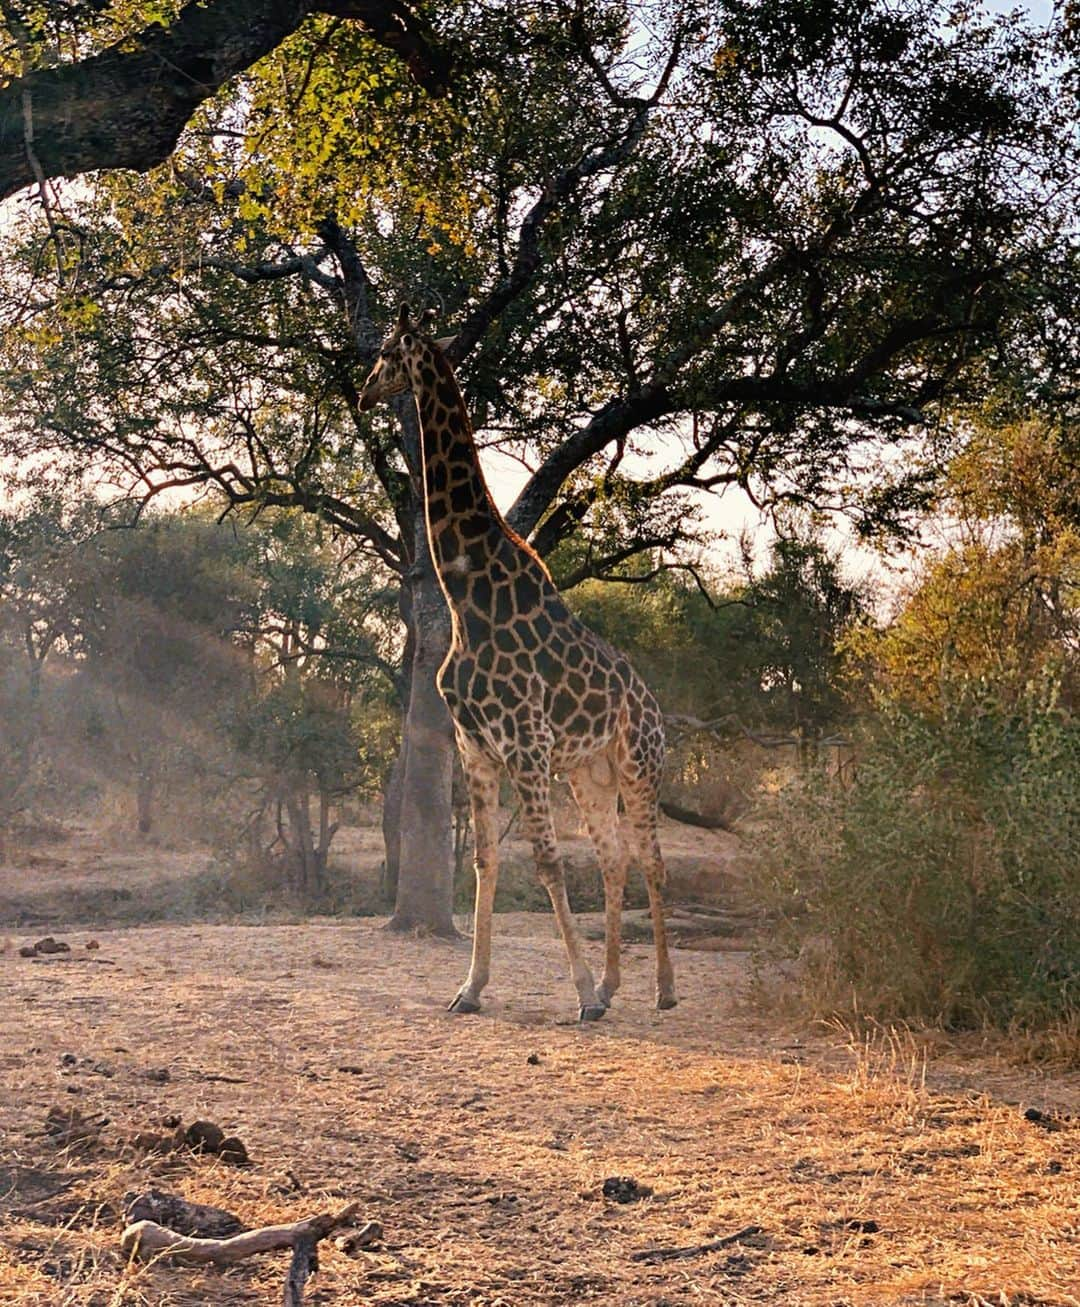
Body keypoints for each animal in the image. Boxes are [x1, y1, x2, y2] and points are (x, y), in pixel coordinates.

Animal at [358, 303, 674, 1019]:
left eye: (386, 351)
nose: (362, 393)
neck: (464, 592)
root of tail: (651, 701)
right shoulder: (476, 746)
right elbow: (482, 863)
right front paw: (471, 988)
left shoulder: (525, 742)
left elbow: (550, 863)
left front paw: (579, 993)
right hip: (588, 771)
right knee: (614, 858)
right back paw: (615, 984)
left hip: (637, 764)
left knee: (651, 857)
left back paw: (664, 990)